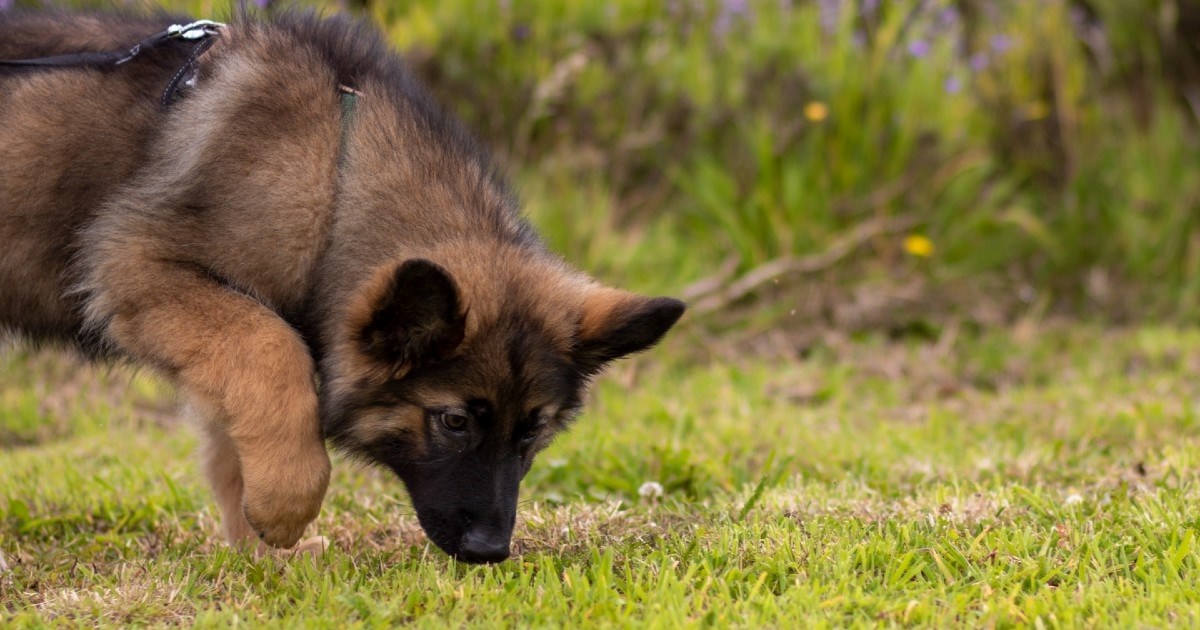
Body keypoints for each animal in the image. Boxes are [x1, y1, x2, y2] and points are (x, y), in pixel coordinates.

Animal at [0, 9, 686, 561]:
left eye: (532, 432)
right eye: (454, 421)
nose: (490, 551)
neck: (336, 177)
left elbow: (234, 432)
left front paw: (261, 551)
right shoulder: (136, 261)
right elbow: (274, 350)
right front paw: (286, 506)